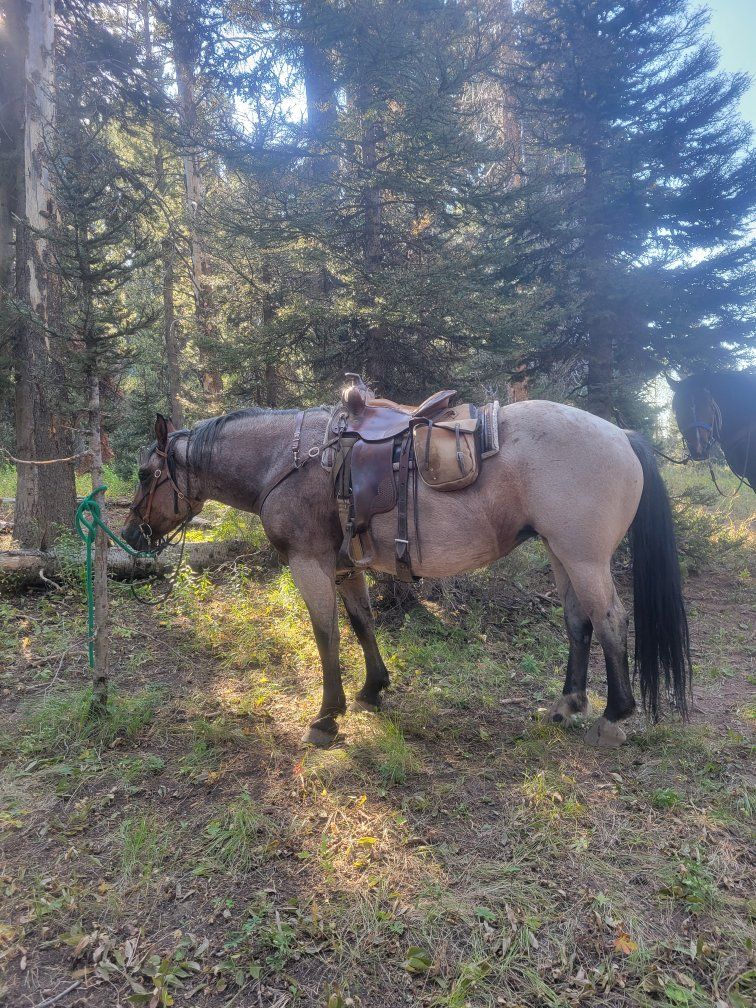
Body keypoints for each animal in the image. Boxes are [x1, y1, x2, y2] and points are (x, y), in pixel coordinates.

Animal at [121, 401, 691, 749]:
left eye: (146, 474)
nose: (130, 536)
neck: (289, 461)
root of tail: (621, 434)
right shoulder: (346, 567)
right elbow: (361, 626)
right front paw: (373, 690)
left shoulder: (310, 563)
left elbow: (325, 635)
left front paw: (326, 716)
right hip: (561, 554)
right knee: (579, 622)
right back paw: (567, 705)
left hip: (584, 558)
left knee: (611, 621)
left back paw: (613, 717)